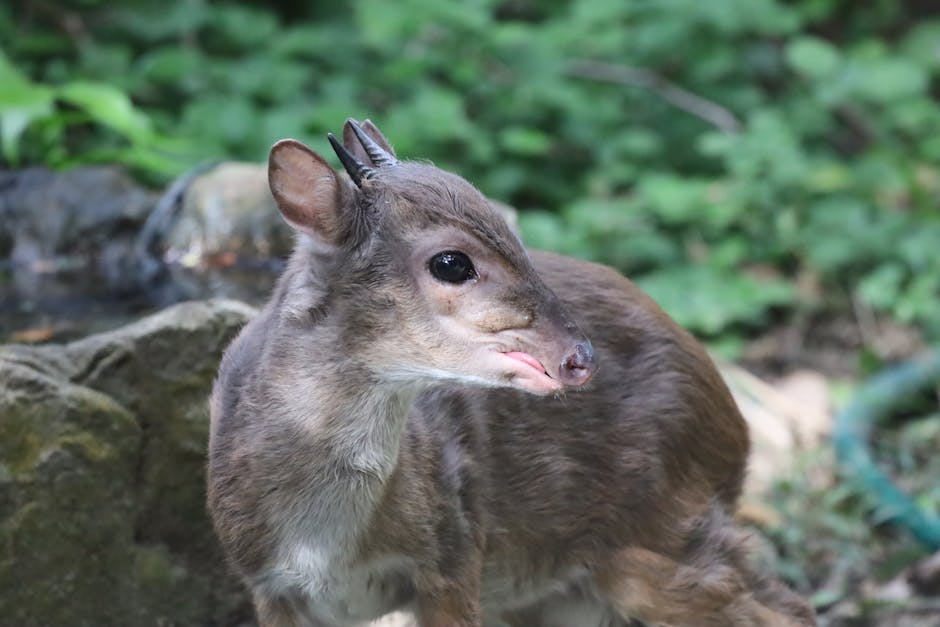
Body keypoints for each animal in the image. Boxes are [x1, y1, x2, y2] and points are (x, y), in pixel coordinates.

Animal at [207, 119, 816, 627]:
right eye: (451, 262)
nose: (579, 355)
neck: (325, 543)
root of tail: (732, 420)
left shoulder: (452, 556)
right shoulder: (267, 586)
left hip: (659, 527)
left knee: (784, 606)